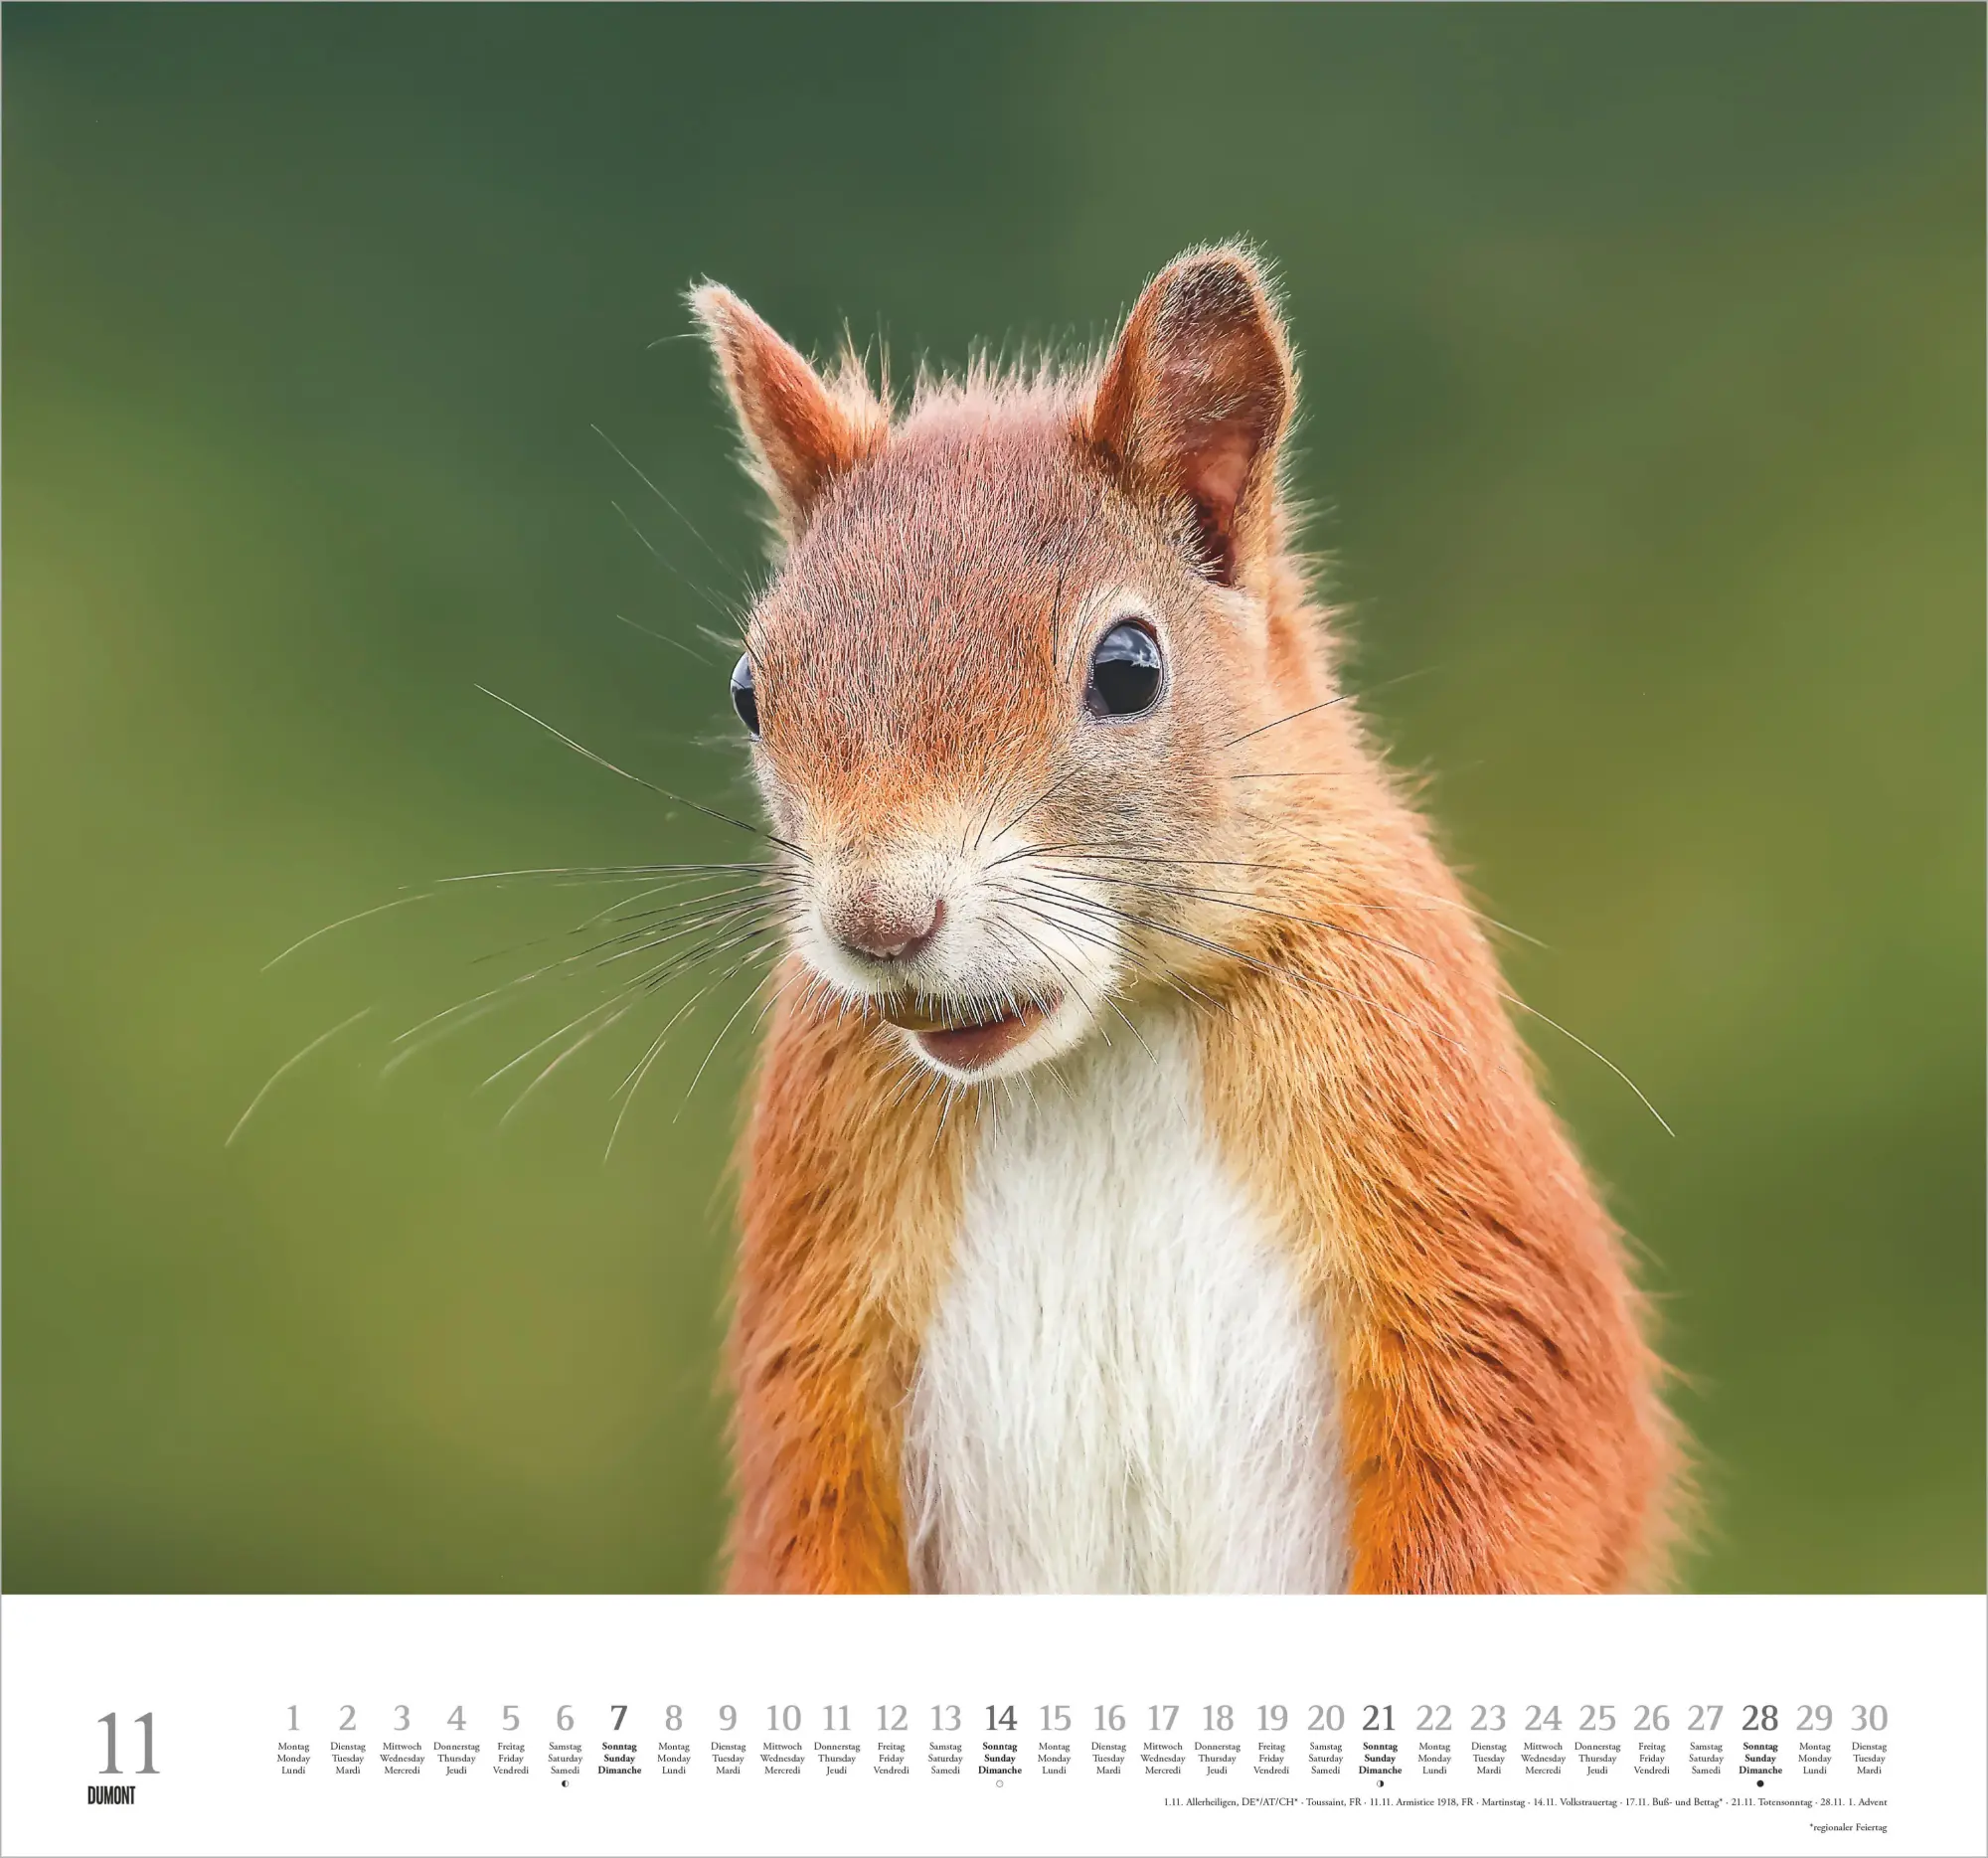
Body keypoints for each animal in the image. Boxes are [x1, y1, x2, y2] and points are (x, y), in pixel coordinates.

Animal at [688, 245, 1683, 1594]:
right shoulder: (823, 1228)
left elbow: (1525, 1450)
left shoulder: (1425, 1119)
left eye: (1127, 668)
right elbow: (808, 1515)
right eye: (750, 690)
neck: (1102, 1042)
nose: (879, 922)